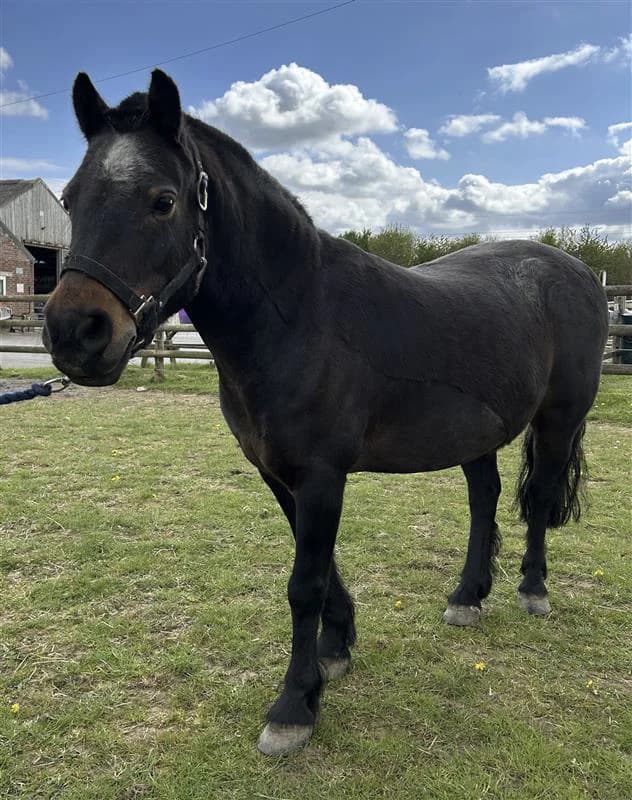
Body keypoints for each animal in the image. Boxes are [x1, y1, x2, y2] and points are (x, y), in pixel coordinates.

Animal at [43, 70, 609, 756]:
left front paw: (293, 706)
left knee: (540, 497)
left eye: (163, 201)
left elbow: (303, 584)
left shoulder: (320, 476)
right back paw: (467, 596)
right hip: (477, 433)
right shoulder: (280, 474)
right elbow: (319, 569)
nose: (76, 333)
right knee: (485, 499)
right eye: (70, 199)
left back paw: (531, 590)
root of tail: (576, 271)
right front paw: (334, 651)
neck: (297, 316)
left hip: (559, 420)